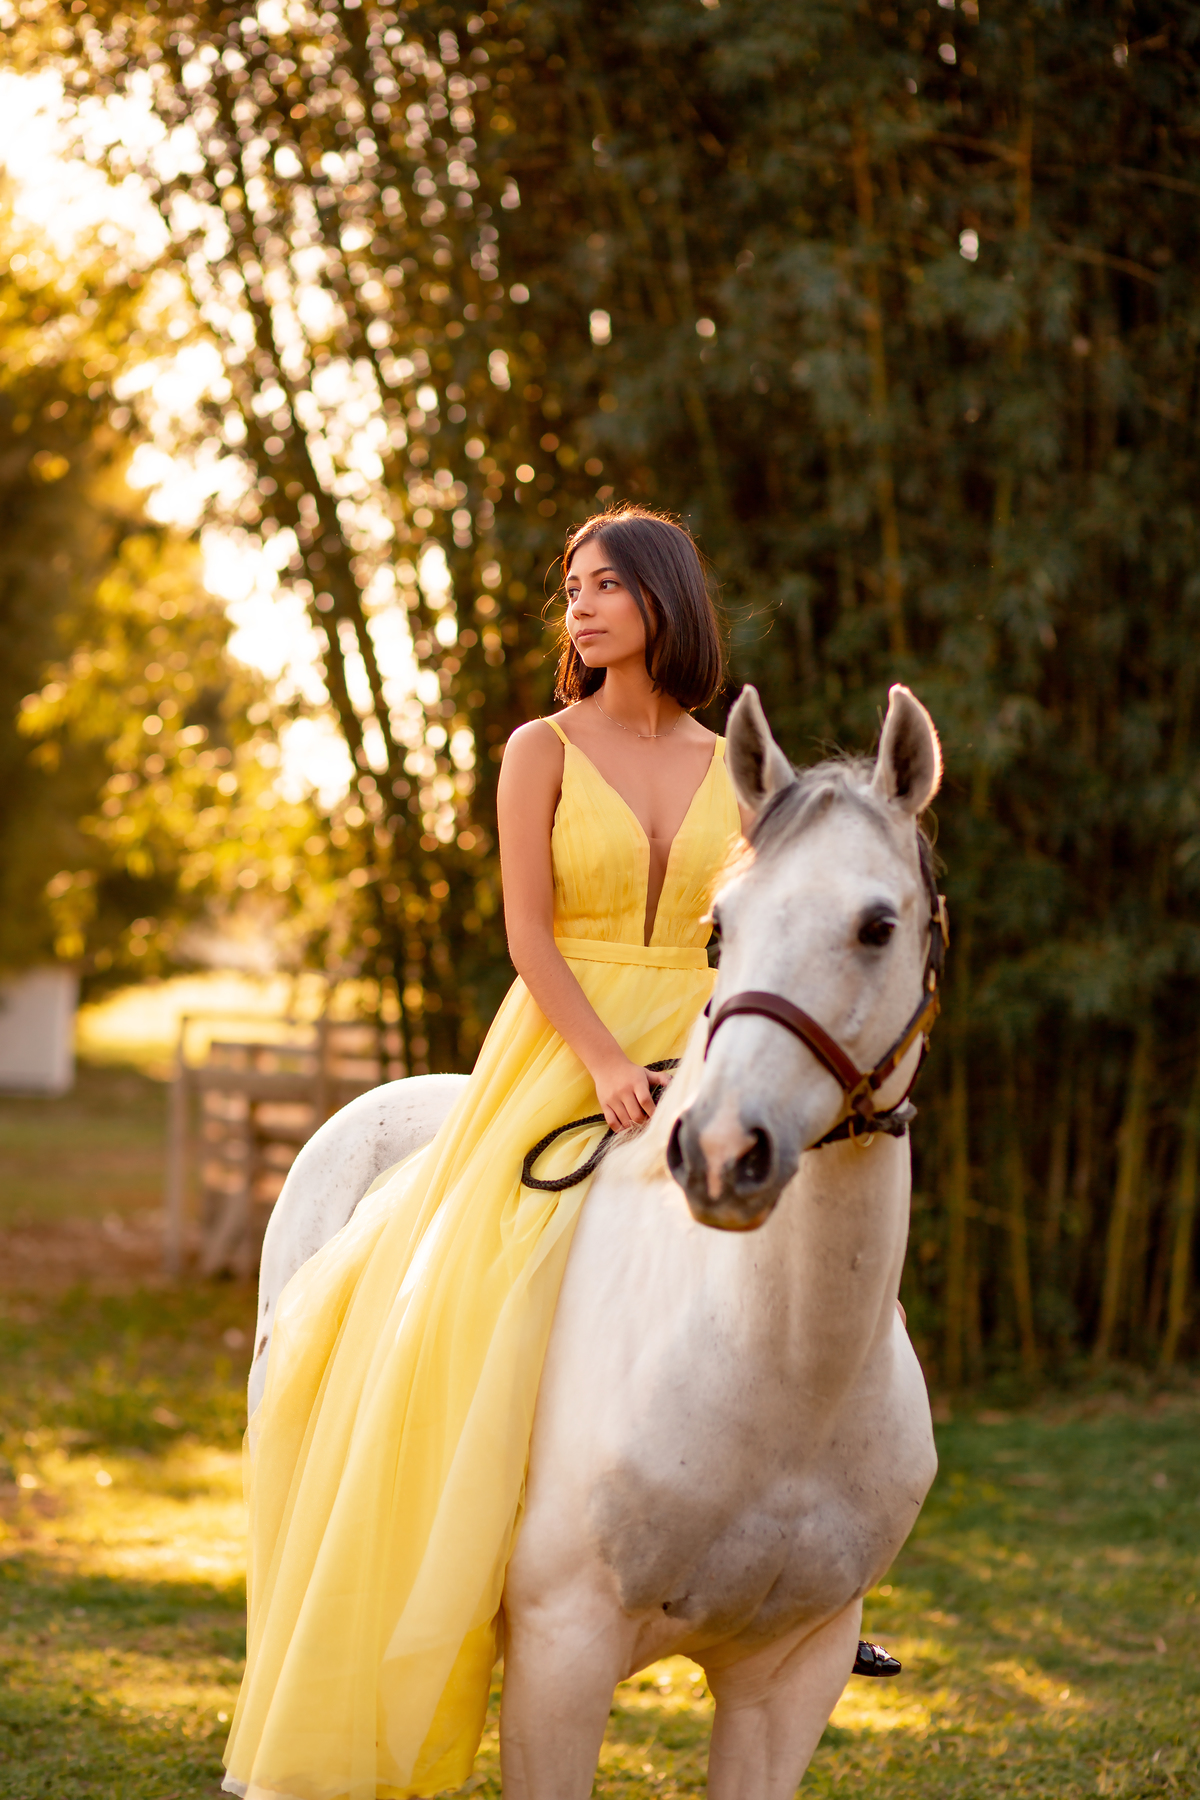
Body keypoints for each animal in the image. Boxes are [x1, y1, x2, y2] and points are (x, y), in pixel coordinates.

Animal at [249, 683, 942, 1800]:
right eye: (722, 928)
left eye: (878, 926)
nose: (722, 1152)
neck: (785, 1378)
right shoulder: (562, 1654)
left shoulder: (793, 1674)